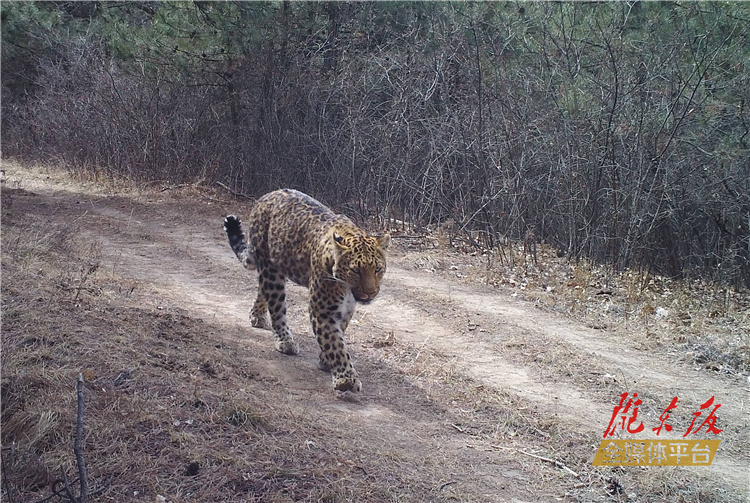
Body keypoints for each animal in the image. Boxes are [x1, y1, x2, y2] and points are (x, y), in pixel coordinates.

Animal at [223, 189, 390, 394]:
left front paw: (326, 360)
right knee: (276, 304)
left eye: (377, 269)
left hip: (277, 265)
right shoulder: (323, 310)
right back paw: (285, 340)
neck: (346, 288)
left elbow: (339, 332)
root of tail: (267, 195)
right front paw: (346, 378)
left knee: (263, 289)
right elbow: (335, 343)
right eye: (356, 271)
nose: (370, 293)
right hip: (270, 269)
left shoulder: (347, 308)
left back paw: (257, 316)